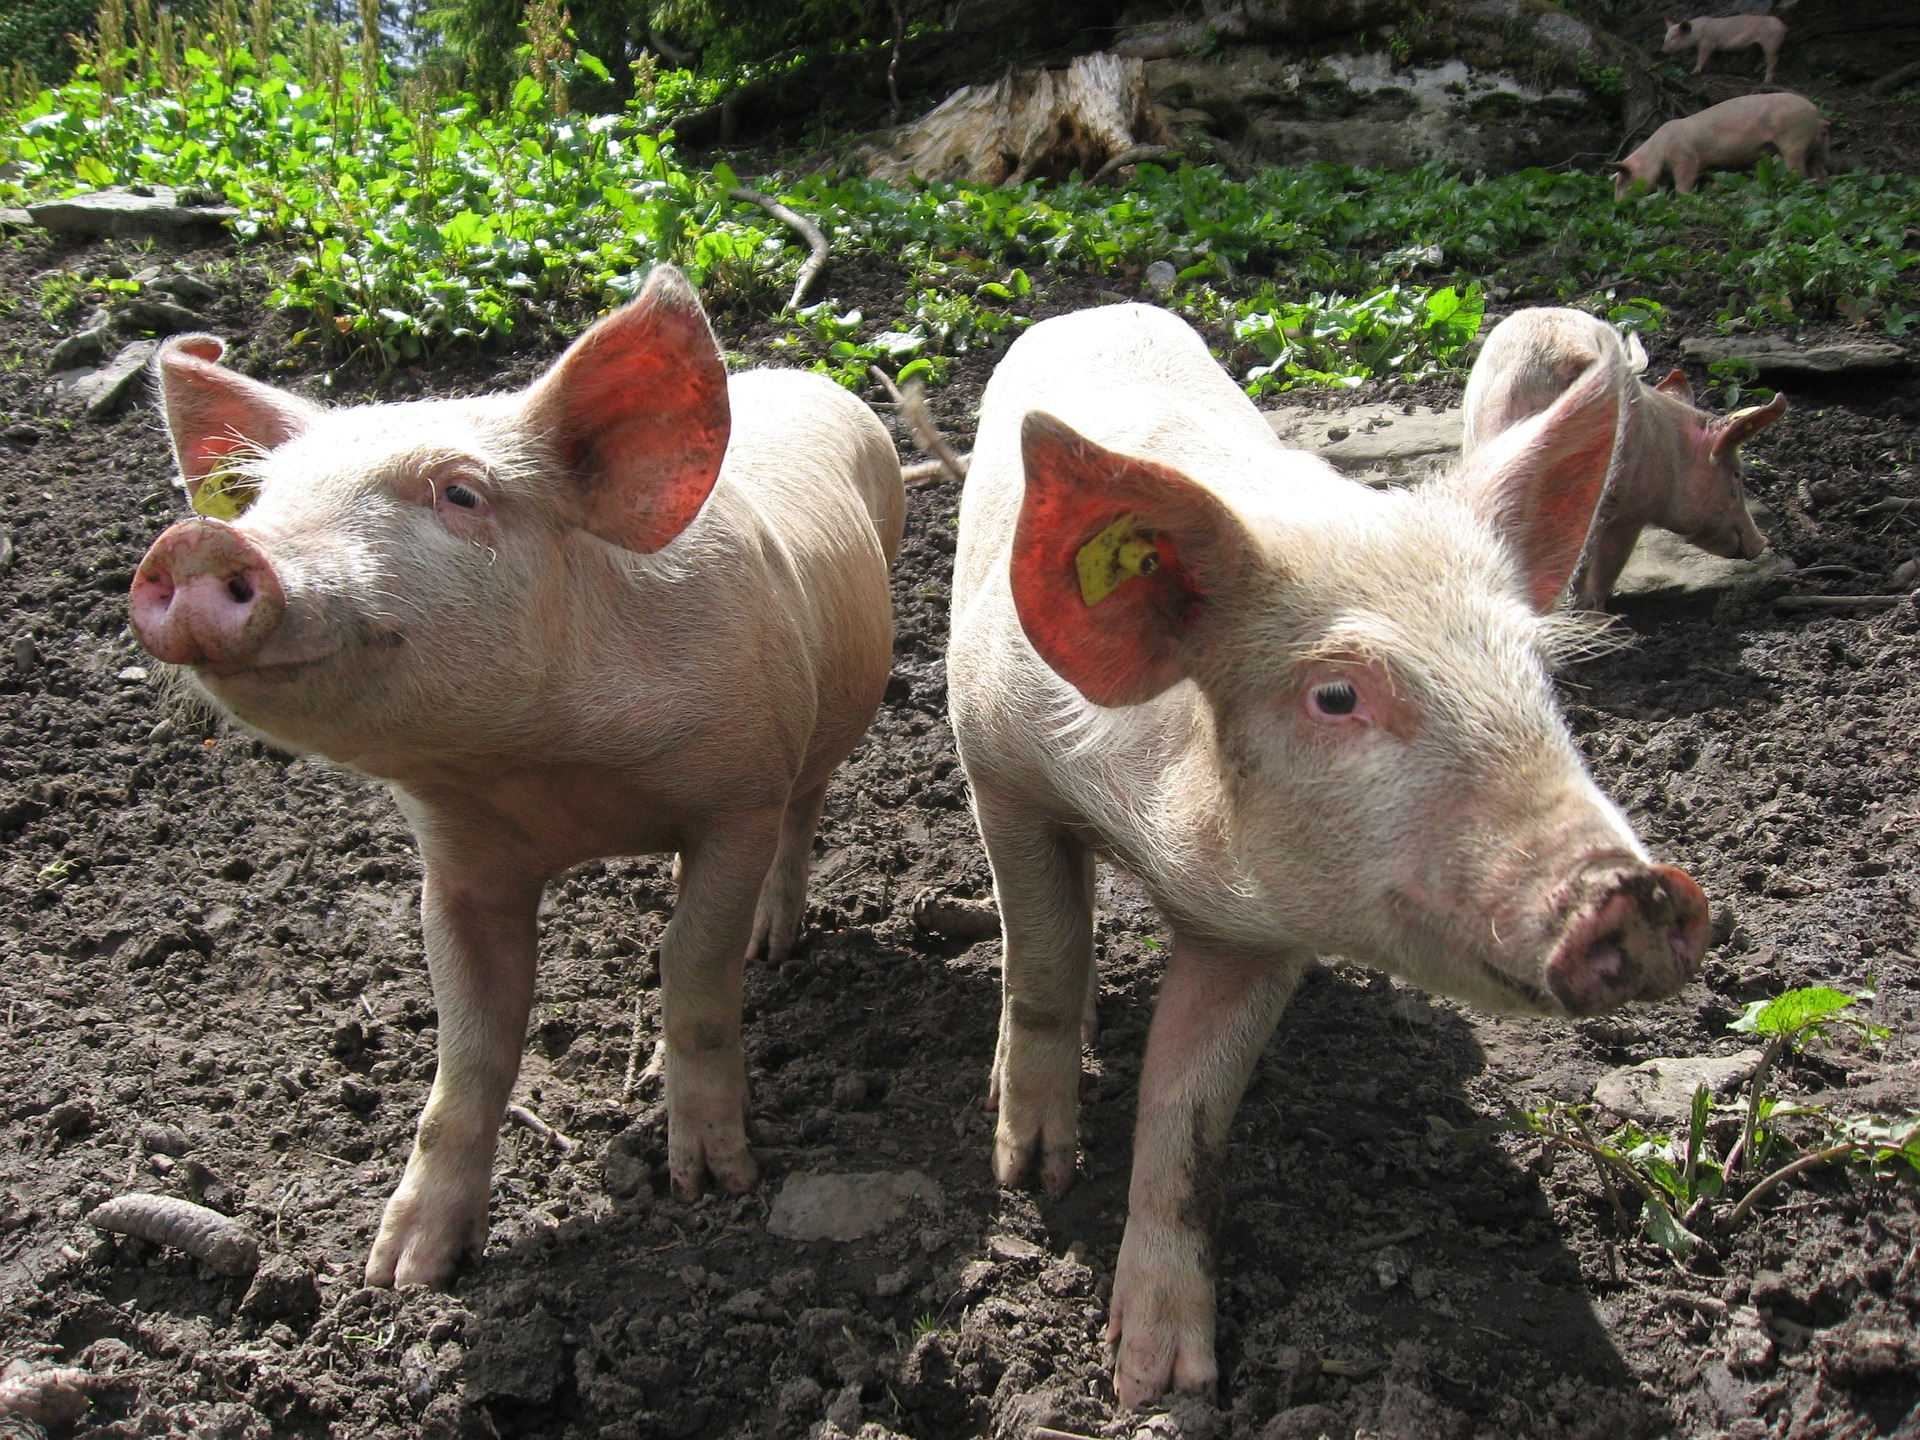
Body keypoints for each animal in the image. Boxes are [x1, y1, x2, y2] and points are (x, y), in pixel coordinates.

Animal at [129, 266, 905, 1288]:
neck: (550, 772)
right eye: (257, 503)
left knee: (803, 809)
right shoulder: (457, 861)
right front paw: (402, 1273)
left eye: (461, 493)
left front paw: (715, 1183)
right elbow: (472, 1044)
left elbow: (692, 968)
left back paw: (769, 947)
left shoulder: (736, 791)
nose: (201, 545)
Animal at [946, 303, 1710, 1406]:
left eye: (1538, 676)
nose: (1644, 892)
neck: (1154, 834)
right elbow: (1040, 968)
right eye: (1337, 695)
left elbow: (1189, 1120)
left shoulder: (1261, 927)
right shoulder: (999, 769)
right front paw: (1032, 1173)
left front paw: (1165, 1384)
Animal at [1610, 92, 1828, 200]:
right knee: (1820, 170)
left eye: (1622, 182)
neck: (1658, 153)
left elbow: (1683, 184)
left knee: (1798, 170)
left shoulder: (1686, 160)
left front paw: (1682, 200)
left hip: (1794, 138)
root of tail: (1815, 113)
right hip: (1817, 146)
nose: (1618, 205)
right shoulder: (1704, 168)